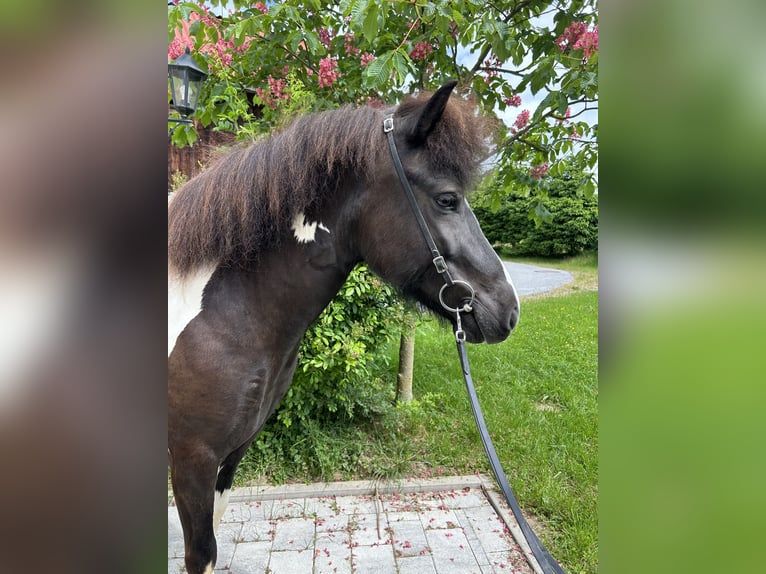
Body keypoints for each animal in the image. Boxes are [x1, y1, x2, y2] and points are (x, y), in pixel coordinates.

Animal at [168, 82, 520, 574]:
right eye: (447, 199)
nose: (509, 311)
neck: (223, 316)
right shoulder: (192, 459)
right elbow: (201, 553)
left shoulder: (231, 455)